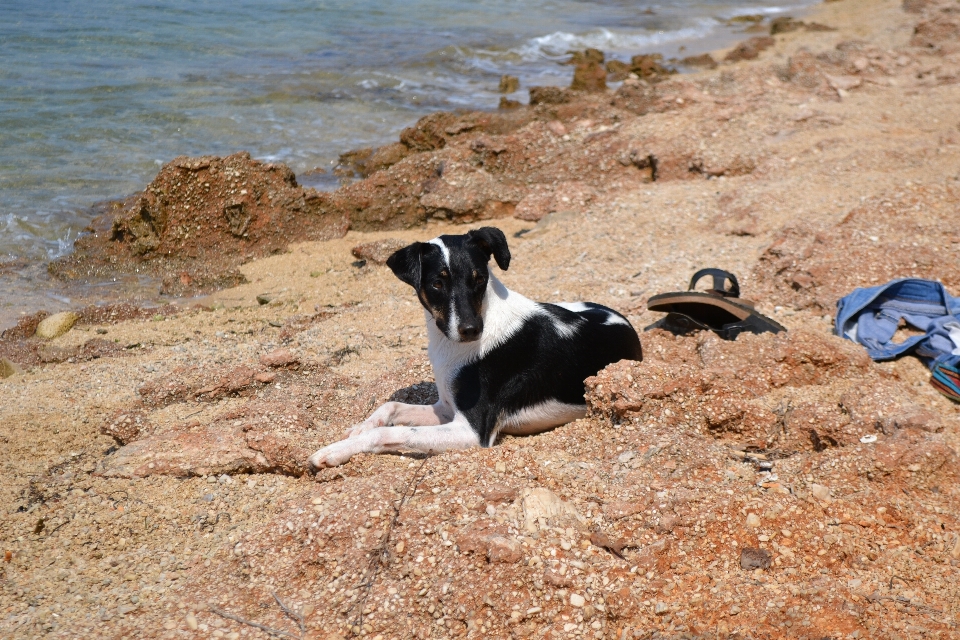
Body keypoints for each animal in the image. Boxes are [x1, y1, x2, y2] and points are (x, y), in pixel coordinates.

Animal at [308, 228, 640, 468]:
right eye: (437, 284)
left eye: (479, 279)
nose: (470, 330)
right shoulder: (445, 408)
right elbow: (391, 407)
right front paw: (359, 429)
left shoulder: (471, 431)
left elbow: (392, 431)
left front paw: (337, 450)